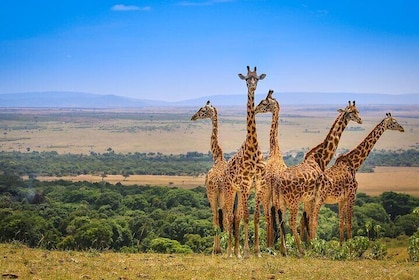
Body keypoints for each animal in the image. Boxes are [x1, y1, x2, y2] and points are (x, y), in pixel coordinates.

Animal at [191, 100, 230, 254]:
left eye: (202, 110)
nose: (193, 117)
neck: (218, 157)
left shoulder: (211, 196)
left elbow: (215, 219)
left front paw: (216, 249)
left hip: (214, 196)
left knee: (218, 218)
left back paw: (219, 249)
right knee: (230, 218)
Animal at [274, 100, 362, 254]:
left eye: (357, 110)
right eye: (351, 112)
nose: (360, 120)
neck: (320, 158)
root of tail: (278, 182)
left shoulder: (310, 198)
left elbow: (309, 221)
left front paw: (312, 245)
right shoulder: (317, 196)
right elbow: (313, 221)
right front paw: (314, 247)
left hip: (282, 201)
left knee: (281, 220)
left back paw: (284, 250)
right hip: (293, 200)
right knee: (291, 221)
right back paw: (300, 250)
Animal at [312, 112, 406, 243]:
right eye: (394, 121)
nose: (402, 128)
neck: (354, 164)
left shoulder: (342, 199)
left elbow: (341, 224)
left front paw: (342, 246)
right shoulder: (352, 194)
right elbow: (350, 223)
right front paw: (351, 246)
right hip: (319, 199)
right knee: (313, 221)